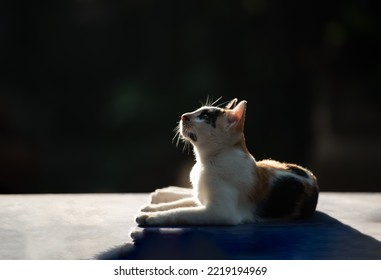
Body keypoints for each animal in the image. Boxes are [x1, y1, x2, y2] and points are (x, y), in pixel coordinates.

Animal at [136, 98, 318, 225]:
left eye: (205, 116)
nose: (183, 116)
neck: (205, 162)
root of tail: (311, 175)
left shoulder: (220, 212)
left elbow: (182, 212)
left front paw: (151, 216)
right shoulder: (204, 200)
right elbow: (182, 204)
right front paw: (154, 208)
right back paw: (163, 193)